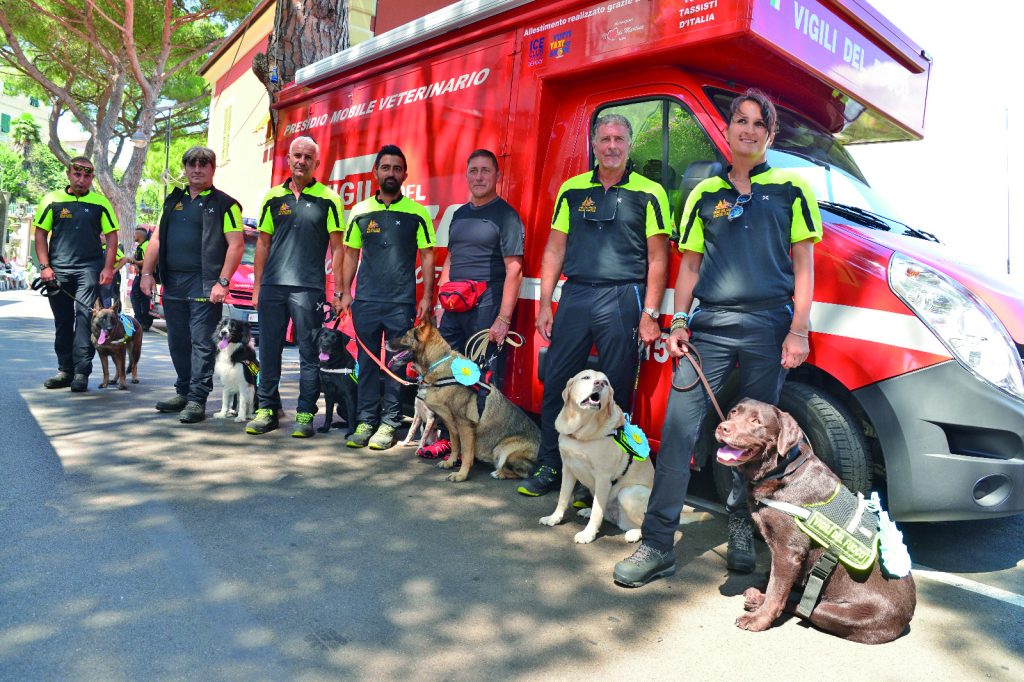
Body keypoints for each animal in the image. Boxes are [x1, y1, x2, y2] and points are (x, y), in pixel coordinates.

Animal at [540, 368, 651, 544]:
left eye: (605, 382)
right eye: (586, 377)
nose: (599, 383)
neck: (580, 432)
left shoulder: (603, 478)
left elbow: (597, 512)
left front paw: (588, 534)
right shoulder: (568, 469)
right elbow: (563, 498)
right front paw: (554, 518)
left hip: (628, 493)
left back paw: (634, 533)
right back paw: (587, 511)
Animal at [716, 395, 917, 638]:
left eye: (756, 421)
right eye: (733, 412)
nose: (722, 427)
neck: (782, 470)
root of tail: (906, 618)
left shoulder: (788, 551)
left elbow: (777, 591)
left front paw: (759, 620)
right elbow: (778, 584)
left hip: (834, 612)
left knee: (806, 608)